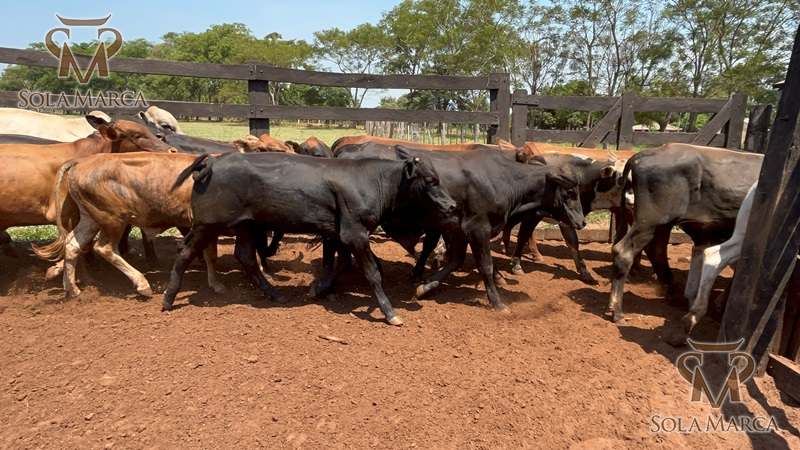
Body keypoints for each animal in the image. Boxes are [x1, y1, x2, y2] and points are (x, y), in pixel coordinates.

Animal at [33, 153, 227, 298]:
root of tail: (81, 161)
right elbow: (211, 255)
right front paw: (217, 285)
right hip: (113, 219)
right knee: (104, 248)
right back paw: (142, 284)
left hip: (90, 219)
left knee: (72, 245)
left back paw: (72, 289)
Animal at [161, 149, 459, 326]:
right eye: (430, 180)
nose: (453, 205)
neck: (370, 181)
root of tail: (214, 160)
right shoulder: (354, 234)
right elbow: (372, 273)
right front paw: (389, 312)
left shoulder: (339, 234)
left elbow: (341, 264)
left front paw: (319, 289)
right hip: (207, 226)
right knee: (184, 253)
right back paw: (168, 298)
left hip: (246, 225)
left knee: (245, 257)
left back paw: (274, 293)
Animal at [337, 143, 585, 312]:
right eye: (570, 193)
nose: (582, 222)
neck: (503, 179)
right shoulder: (478, 228)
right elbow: (485, 265)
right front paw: (497, 301)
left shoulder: (458, 231)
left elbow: (454, 262)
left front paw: (425, 287)